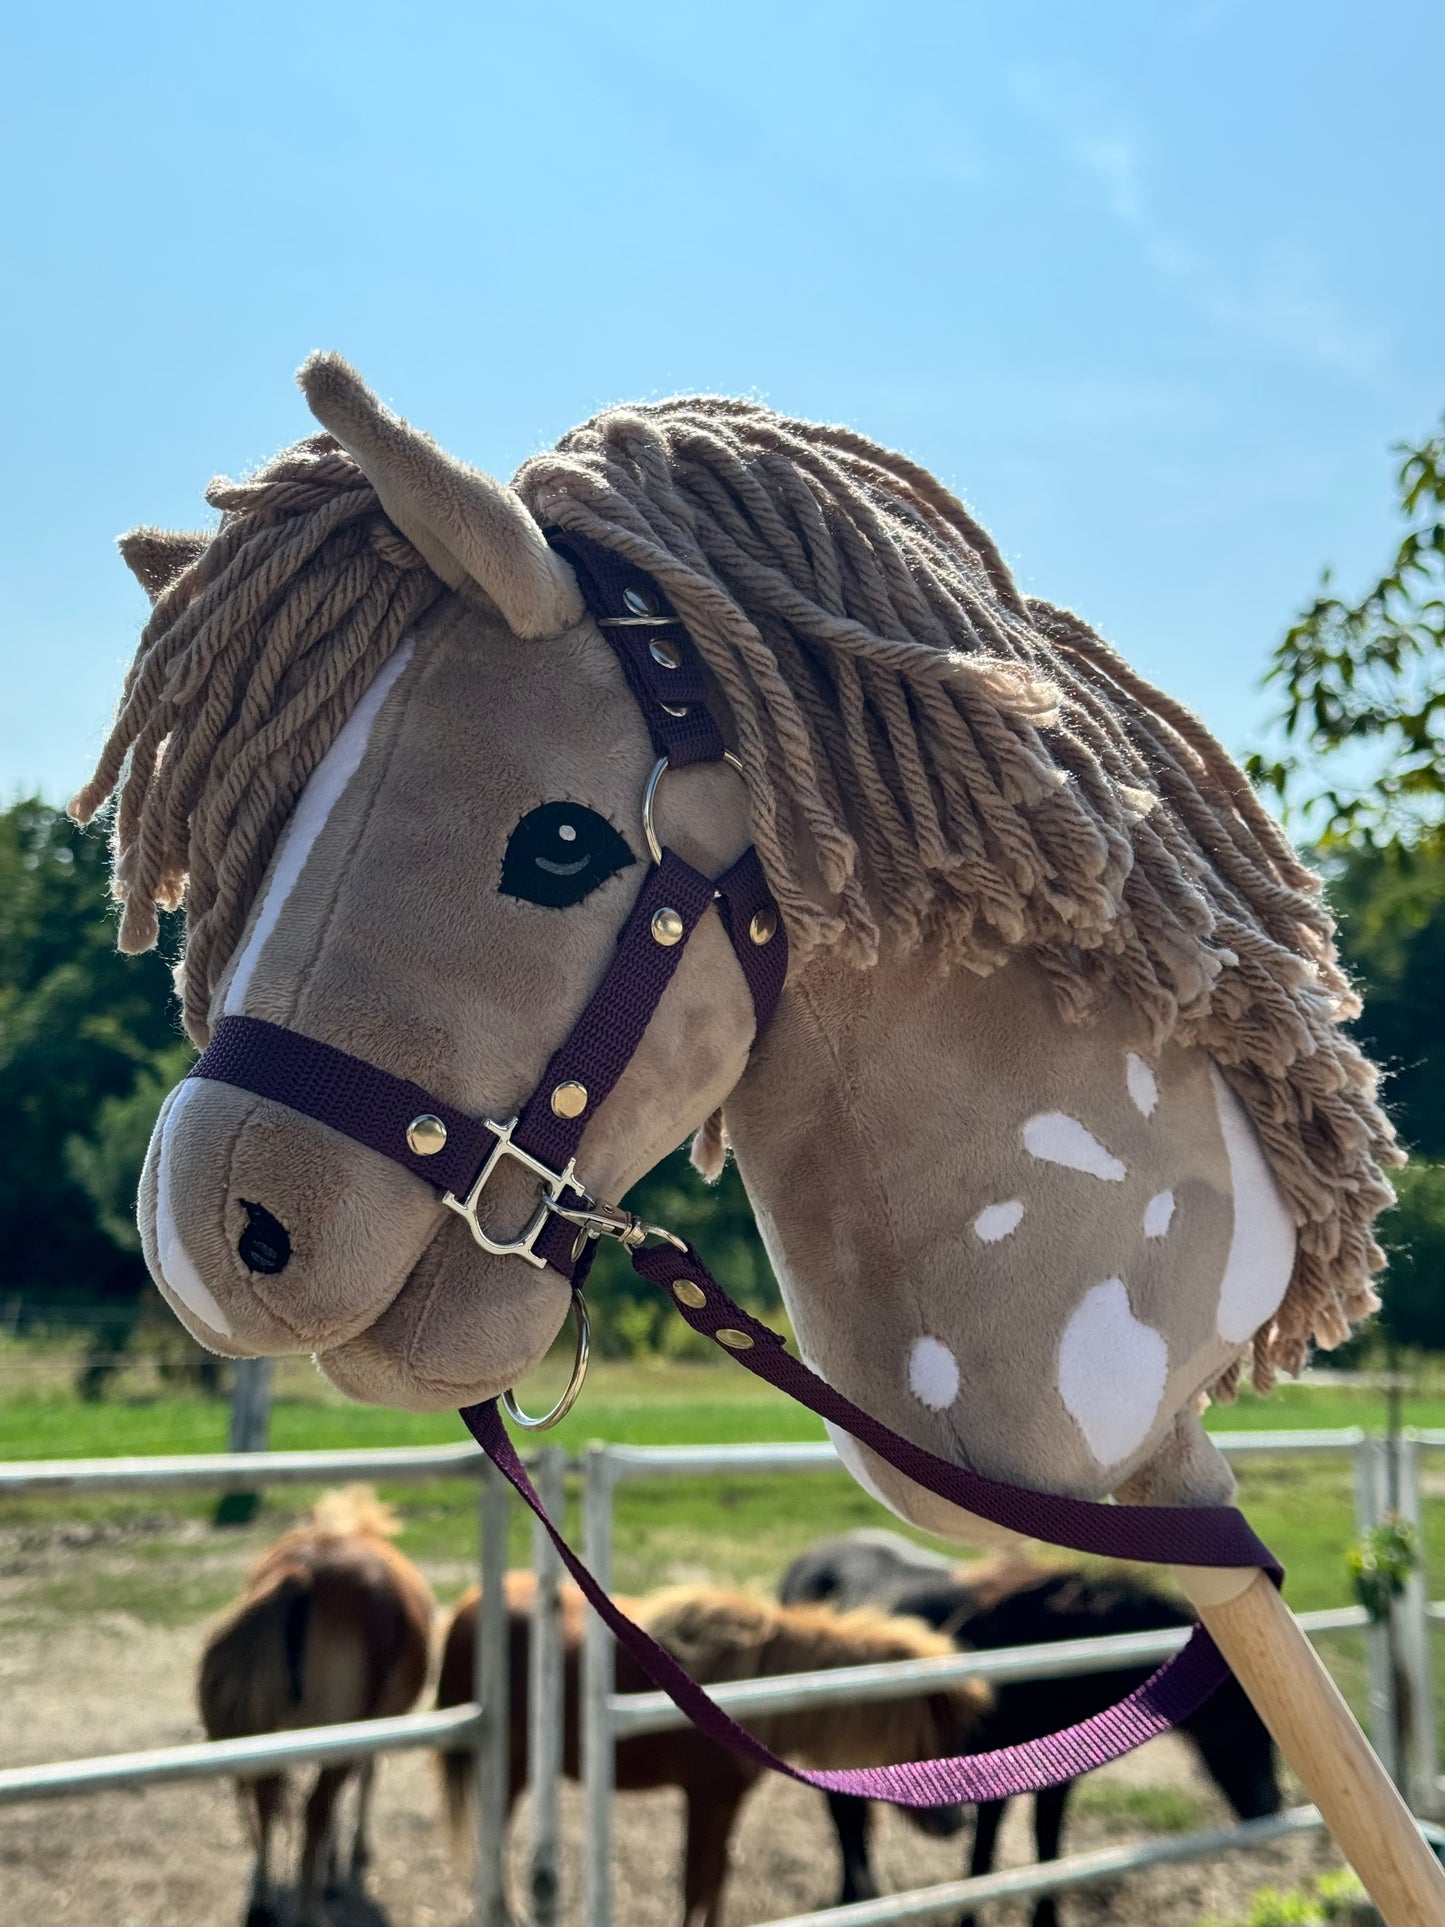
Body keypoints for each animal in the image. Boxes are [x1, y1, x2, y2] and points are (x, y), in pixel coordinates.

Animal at [197, 1485, 434, 1927]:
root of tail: (302, 1575)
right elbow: (365, 1777)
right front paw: (348, 1858)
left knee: (268, 1801)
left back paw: (264, 1900)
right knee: (314, 1811)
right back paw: (310, 1909)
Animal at [434, 1570, 990, 1927]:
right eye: (931, 1729)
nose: (954, 1823)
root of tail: (470, 1606)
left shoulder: (726, 1802)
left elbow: (715, 1881)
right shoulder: (704, 1798)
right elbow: (696, 1883)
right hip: (506, 1765)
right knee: (494, 1836)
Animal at [779, 1530, 1281, 1926]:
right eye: (1238, 1711)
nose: (1269, 1805)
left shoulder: (1058, 1779)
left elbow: (1047, 1848)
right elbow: (983, 1859)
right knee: (842, 1815)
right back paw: (856, 1897)